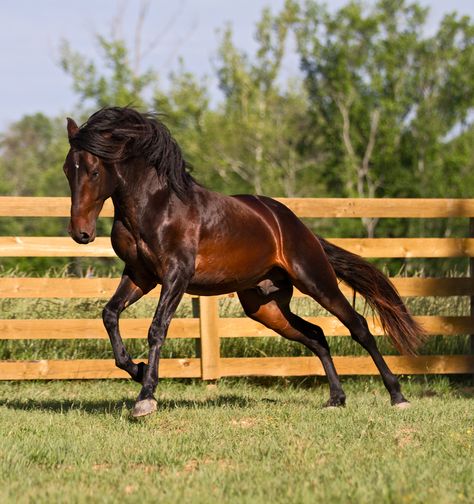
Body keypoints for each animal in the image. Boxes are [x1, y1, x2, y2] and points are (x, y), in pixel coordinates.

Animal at [64, 106, 426, 418]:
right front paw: (137, 370)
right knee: (316, 335)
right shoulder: (141, 275)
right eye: (69, 169)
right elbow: (110, 314)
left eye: (94, 170)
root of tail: (296, 226)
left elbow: (157, 329)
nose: (80, 233)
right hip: (265, 306)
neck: (156, 205)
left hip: (316, 282)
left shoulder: (176, 276)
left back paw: (397, 396)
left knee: (358, 327)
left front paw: (146, 397)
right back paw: (336, 398)